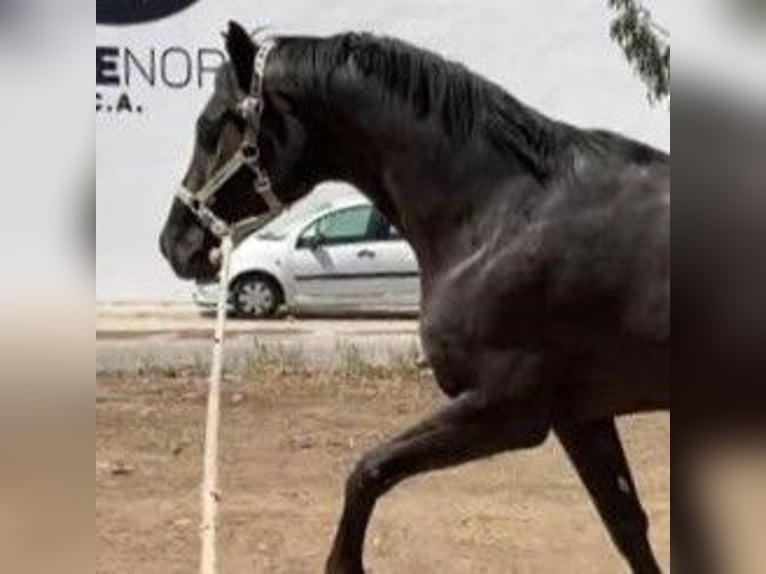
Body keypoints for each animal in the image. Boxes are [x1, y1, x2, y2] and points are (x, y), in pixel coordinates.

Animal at [159, 22, 670, 573]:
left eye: (211, 126)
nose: (176, 243)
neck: (501, 214)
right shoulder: (579, 416)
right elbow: (627, 526)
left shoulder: (507, 409)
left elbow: (368, 470)